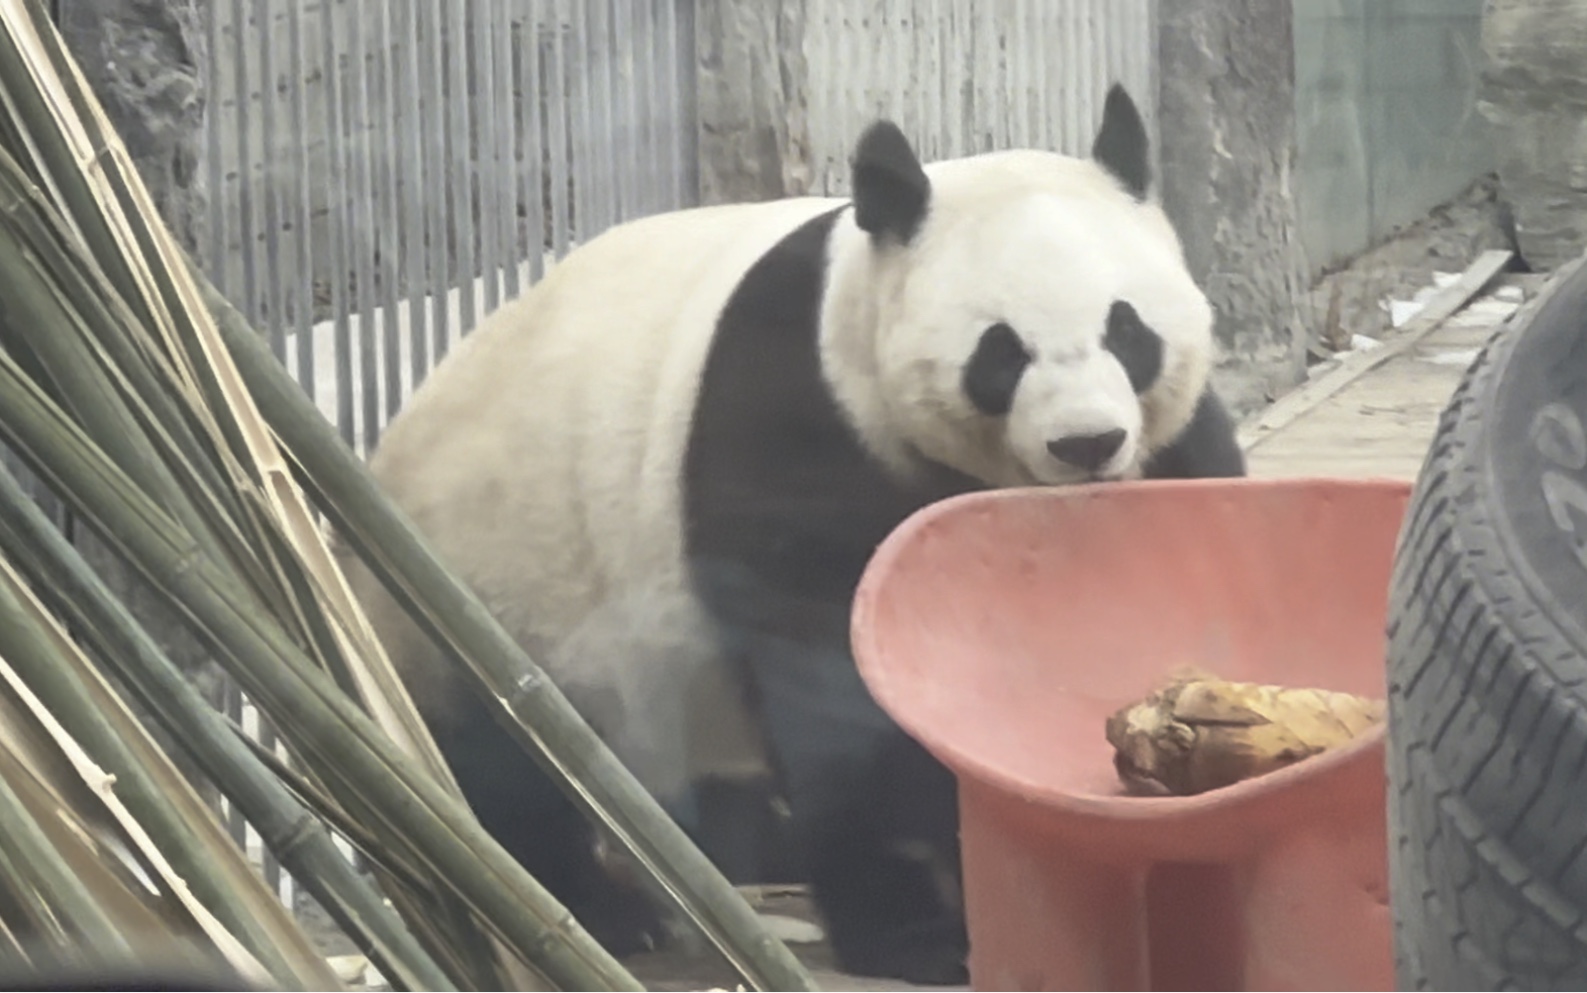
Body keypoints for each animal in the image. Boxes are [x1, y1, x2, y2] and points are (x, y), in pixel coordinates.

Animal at [338, 79, 1250, 983]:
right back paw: (605, 912)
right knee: (499, 772)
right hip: (472, 586)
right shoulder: (800, 420)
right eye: (1000, 352)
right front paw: (922, 927)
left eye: (1125, 329)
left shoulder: (1167, 453)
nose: (1086, 443)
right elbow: (838, 688)